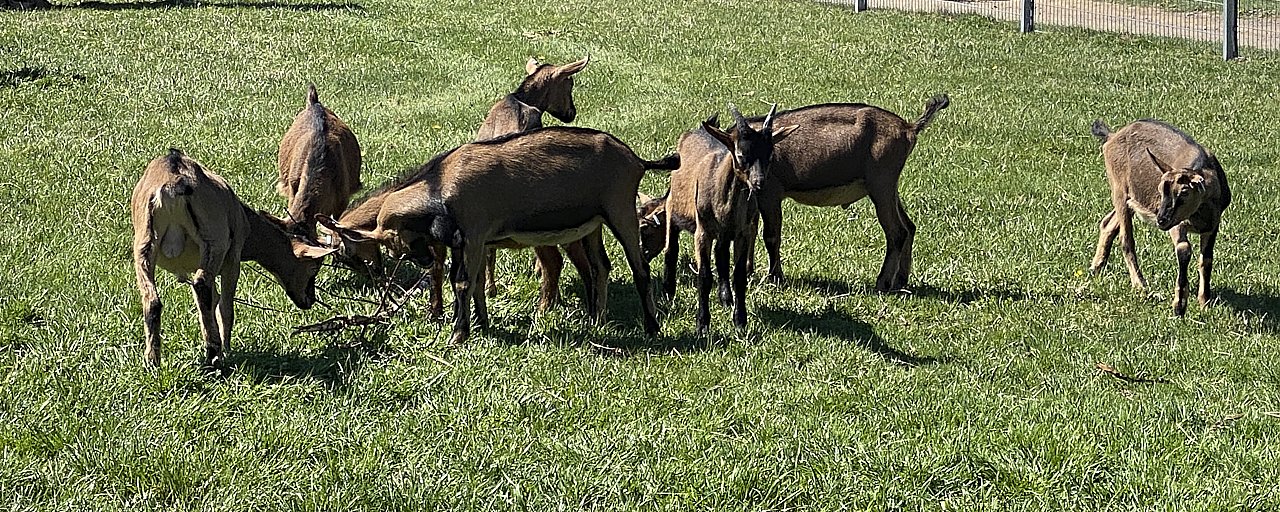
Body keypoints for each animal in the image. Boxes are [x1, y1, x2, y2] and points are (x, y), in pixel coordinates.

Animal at [132, 149, 334, 367]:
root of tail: (173, 183)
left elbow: (213, 301)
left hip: (144, 243)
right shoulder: (232, 258)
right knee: (202, 286)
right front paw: (227, 348)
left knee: (153, 299)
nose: (309, 300)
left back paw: (152, 360)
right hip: (215, 241)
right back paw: (214, 354)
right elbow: (224, 306)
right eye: (314, 267)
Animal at [319, 127, 678, 345]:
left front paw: (459, 333)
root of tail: (637, 161)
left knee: (640, 269)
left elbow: (462, 282)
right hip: (592, 224)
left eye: (396, 245)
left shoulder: (474, 233)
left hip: (620, 211)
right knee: (601, 267)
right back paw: (597, 321)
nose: (421, 260)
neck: (440, 185)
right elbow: (475, 281)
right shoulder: (468, 242)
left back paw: (652, 327)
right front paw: (481, 323)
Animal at [655, 106, 796, 333]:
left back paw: (726, 299)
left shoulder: (742, 233)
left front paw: (740, 322)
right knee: (671, 248)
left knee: (721, 256)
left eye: (770, 154)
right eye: (740, 154)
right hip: (673, 208)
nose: (759, 183)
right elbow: (704, 277)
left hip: (724, 234)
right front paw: (702, 325)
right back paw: (668, 291)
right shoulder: (702, 232)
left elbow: (738, 275)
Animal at [724, 95, 950, 291]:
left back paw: (883, 283)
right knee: (909, 226)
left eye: (769, 156)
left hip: (881, 184)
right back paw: (901, 280)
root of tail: (909, 128)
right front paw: (748, 272)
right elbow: (750, 230)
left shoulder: (770, 193)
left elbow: (771, 236)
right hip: (890, 187)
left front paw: (775, 278)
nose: (758, 179)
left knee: (897, 232)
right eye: (741, 155)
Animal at [1088, 119, 1230, 316]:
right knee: (1126, 240)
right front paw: (1179, 305)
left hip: (1131, 200)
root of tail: (1112, 137)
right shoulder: (1178, 224)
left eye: (1184, 192)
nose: (1160, 220)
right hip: (1119, 189)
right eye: (1161, 189)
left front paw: (1205, 302)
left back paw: (1095, 268)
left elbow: (1206, 259)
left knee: (1108, 223)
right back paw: (1140, 285)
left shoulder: (1212, 225)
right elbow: (1184, 249)